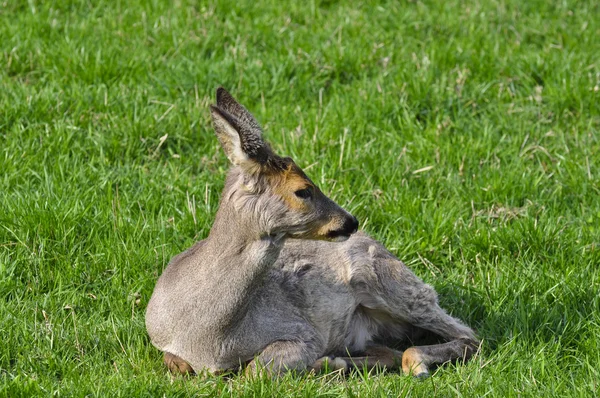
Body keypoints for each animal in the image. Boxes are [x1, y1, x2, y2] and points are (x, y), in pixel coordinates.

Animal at [145, 86, 478, 376]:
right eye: (303, 190)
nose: (350, 221)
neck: (208, 338)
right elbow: (175, 363)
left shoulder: (303, 332)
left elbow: (255, 371)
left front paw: (316, 363)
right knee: (394, 351)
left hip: (392, 283)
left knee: (468, 336)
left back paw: (409, 365)